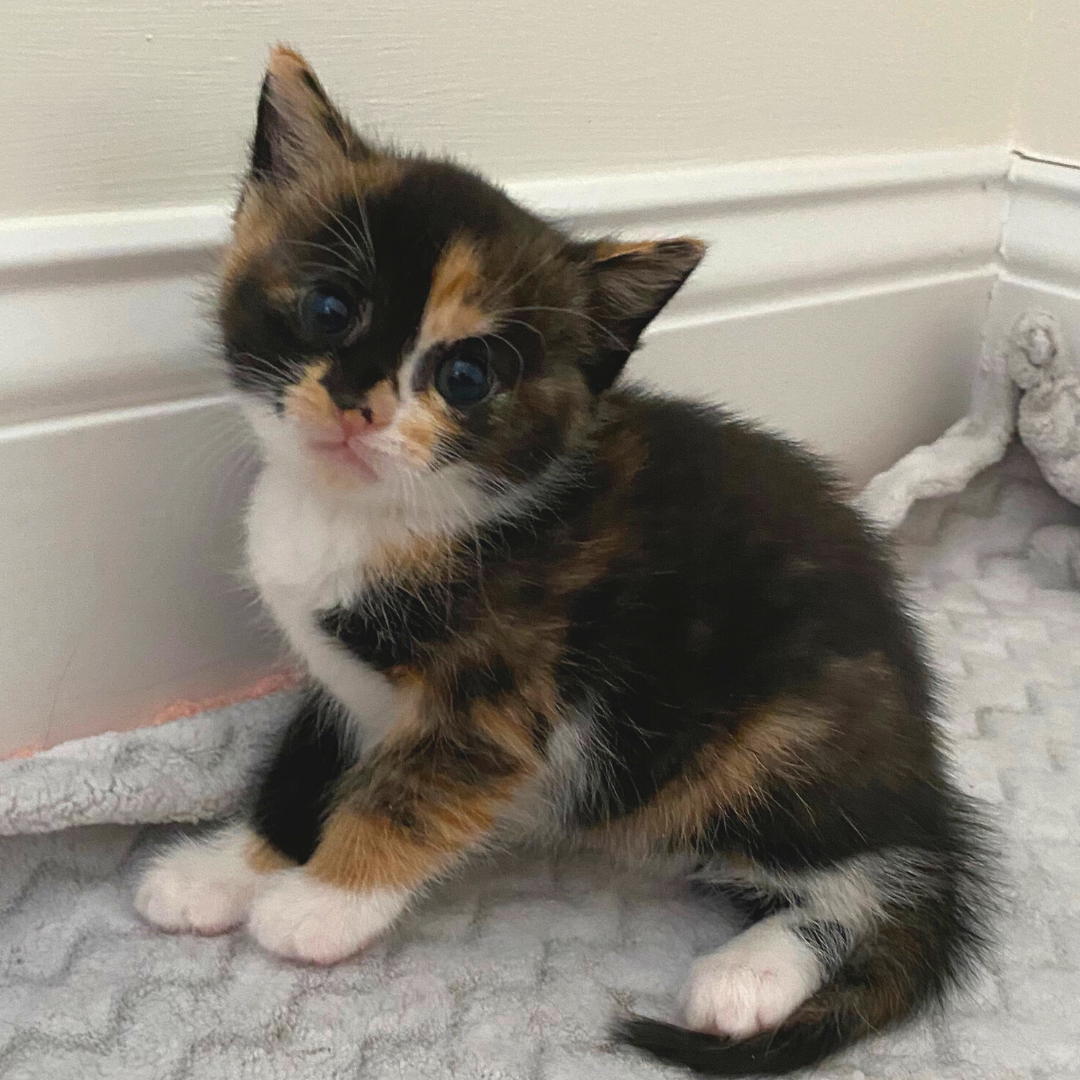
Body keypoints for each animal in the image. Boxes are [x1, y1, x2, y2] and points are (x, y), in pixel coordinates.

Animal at [137, 46, 993, 1075]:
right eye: (329, 307)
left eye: (466, 376)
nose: (357, 401)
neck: (378, 514)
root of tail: (921, 766)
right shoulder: (339, 682)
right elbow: (304, 761)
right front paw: (223, 869)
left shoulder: (504, 691)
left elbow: (416, 789)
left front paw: (321, 902)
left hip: (769, 741)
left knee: (885, 872)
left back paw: (749, 974)